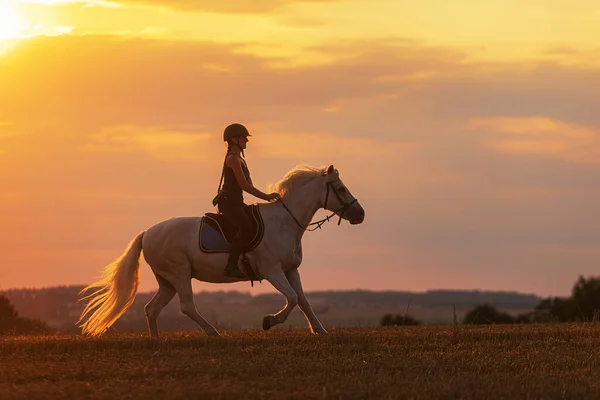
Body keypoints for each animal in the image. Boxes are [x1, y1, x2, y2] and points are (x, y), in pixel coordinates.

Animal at [77, 164, 364, 336]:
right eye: (340, 188)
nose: (359, 214)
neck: (285, 221)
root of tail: (147, 233)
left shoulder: (291, 270)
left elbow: (303, 300)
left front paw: (320, 330)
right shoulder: (272, 271)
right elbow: (292, 298)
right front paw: (269, 321)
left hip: (167, 280)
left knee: (152, 309)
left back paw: (155, 340)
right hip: (179, 273)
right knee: (187, 307)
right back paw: (213, 333)